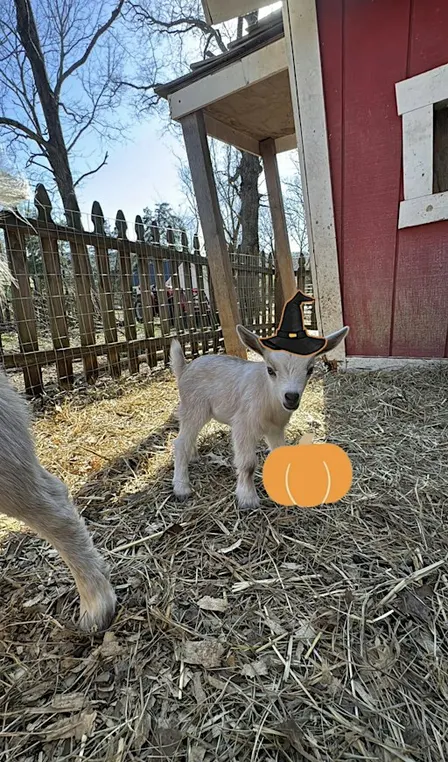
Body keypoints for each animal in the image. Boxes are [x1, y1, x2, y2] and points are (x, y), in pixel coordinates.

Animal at [170, 324, 349, 509]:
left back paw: (193, 457)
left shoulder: (275, 429)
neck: (268, 398)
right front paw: (248, 499)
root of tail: (184, 369)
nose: (291, 397)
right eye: (270, 370)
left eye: (310, 369)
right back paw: (182, 487)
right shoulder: (243, 426)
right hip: (194, 407)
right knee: (180, 442)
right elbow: (248, 464)